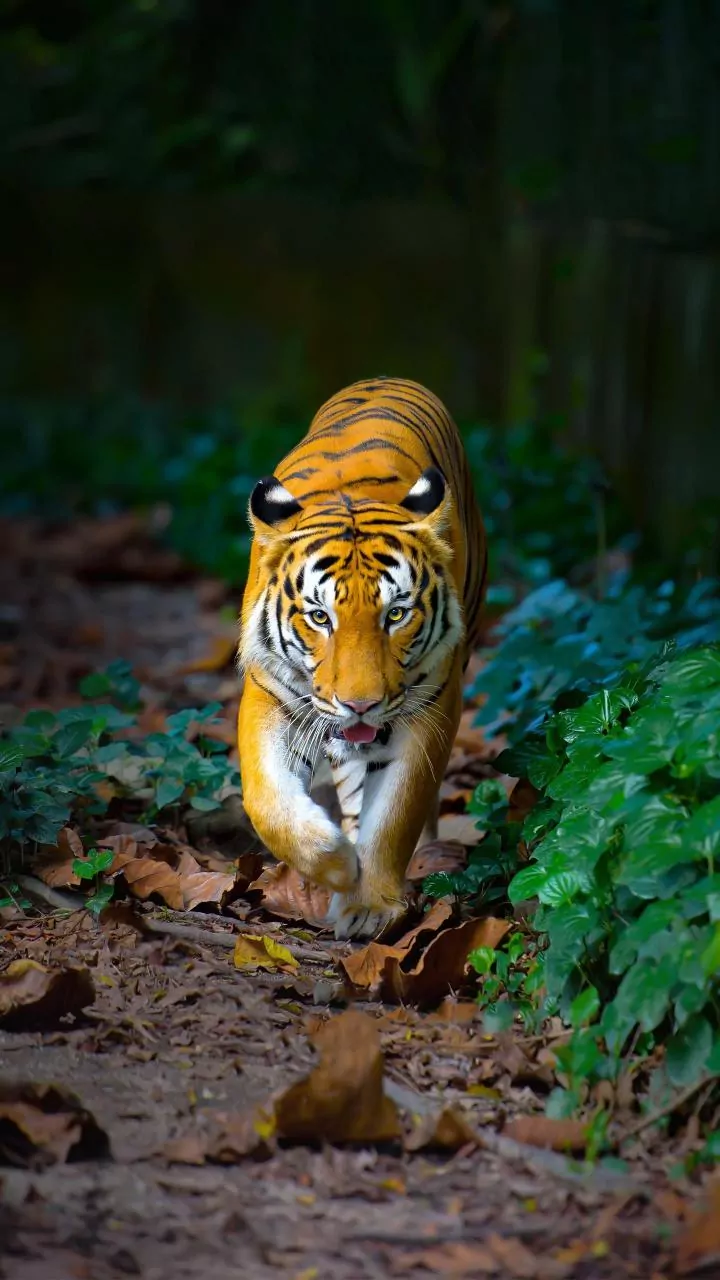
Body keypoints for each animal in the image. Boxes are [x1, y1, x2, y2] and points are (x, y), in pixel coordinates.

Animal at [237, 377, 487, 938]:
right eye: (320, 617)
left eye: (395, 614)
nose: (360, 705)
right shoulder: (269, 693)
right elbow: (266, 800)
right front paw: (335, 863)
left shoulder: (431, 706)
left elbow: (396, 813)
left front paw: (369, 902)